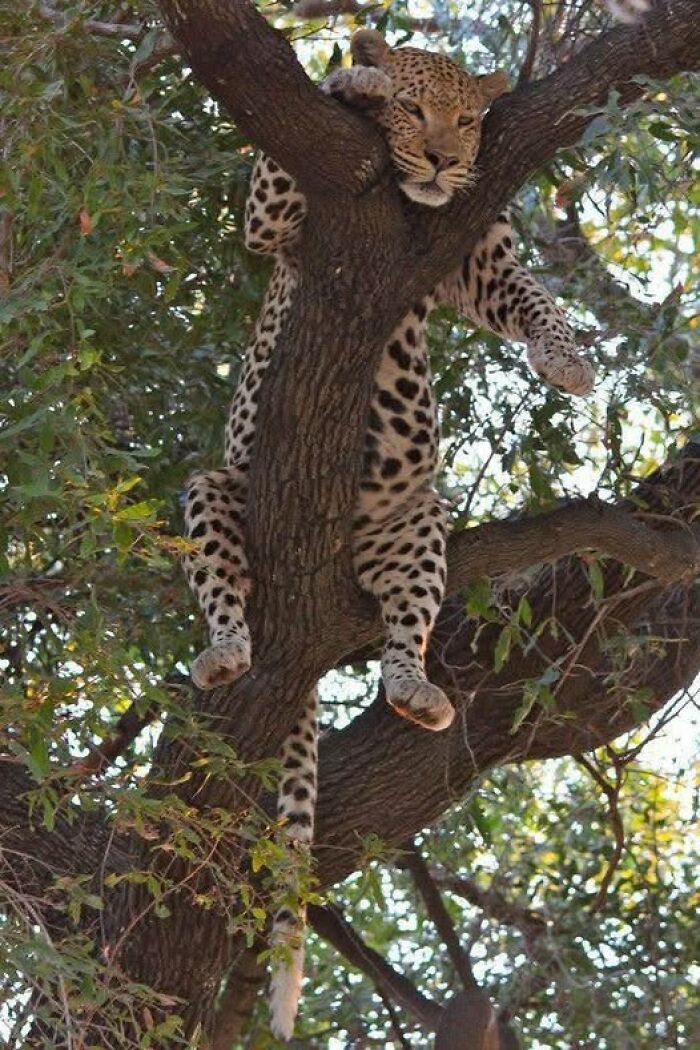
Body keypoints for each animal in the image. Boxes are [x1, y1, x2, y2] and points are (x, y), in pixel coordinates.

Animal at [182, 29, 595, 1040]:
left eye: (474, 119)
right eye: (417, 112)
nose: (445, 158)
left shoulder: (474, 262)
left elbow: (534, 296)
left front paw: (568, 361)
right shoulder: (276, 221)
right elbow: (287, 165)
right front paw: (356, 79)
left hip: (416, 525)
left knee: (404, 628)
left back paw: (417, 689)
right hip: (219, 488)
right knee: (225, 587)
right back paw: (225, 650)